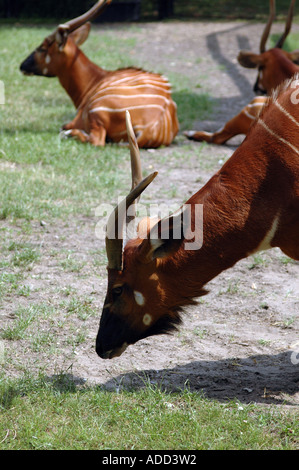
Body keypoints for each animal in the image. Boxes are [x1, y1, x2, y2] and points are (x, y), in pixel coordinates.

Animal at [19, 0, 179, 147]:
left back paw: (70, 134)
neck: (96, 80)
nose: (22, 66)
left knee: (96, 140)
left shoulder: (76, 120)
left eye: (42, 48)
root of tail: (153, 126)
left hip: (96, 113)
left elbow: (64, 127)